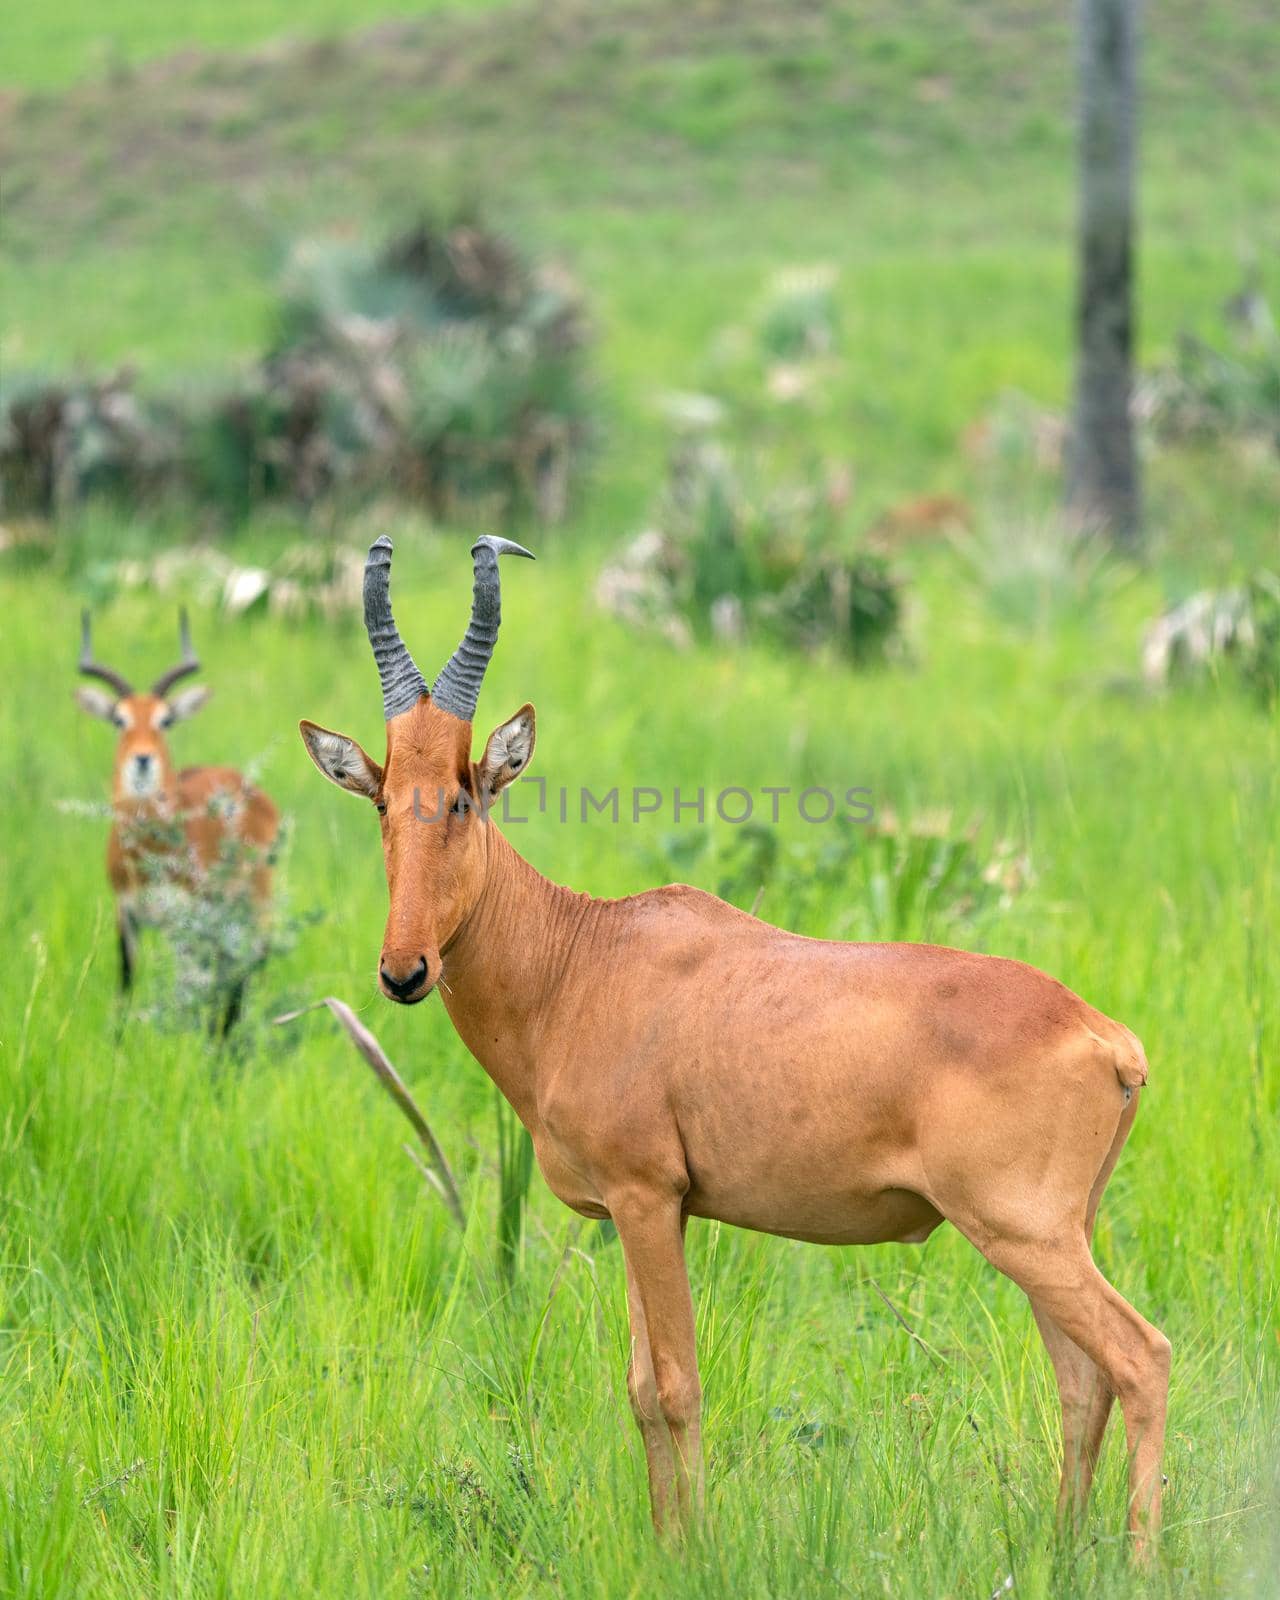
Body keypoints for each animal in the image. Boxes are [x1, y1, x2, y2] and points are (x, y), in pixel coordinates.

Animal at [77, 604, 280, 1030]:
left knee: (241, 973)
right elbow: (126, 986)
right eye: (118, 719)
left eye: (165, 720)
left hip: (249, 911)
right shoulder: (127, 913)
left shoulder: (184, 919)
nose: (142, 759)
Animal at [302, 537, 1171, 1548]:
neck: (585, 957)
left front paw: (695, 1552)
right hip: (1055, 1234)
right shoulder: (648, 1210)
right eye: (382, 802)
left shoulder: (647, 1196)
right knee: (1082, 1382)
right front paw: (665, 1543)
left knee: (1139, 1359)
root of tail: (1106, 1039)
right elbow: (641, 1388)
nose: (404, 971)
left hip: (1023, 1233)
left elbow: (677, 1386)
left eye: (463, 799)